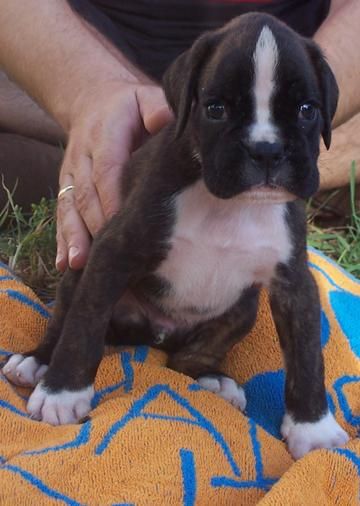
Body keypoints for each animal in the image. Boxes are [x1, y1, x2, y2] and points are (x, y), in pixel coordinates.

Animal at [3, 14, 348, 458]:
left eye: (307, 110)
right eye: (216, 109)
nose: (267, 150)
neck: (232, 205)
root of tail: (155, 335)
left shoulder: (294, 284)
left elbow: (307, 356)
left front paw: (313, 429)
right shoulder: (113, 253)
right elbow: (83, 324)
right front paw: (63, 393)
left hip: (241, 311)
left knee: (185, 360)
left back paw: (210, 378)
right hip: (80, 270)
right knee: (63, 318)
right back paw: (37, 362)